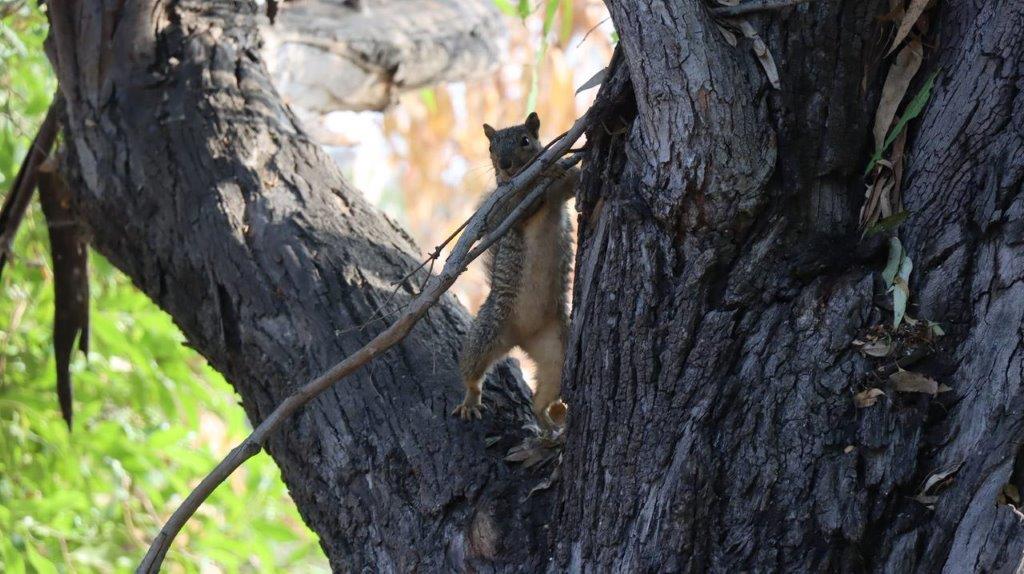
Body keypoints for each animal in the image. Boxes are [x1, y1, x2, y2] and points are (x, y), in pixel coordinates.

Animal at [452, 112, 581, 429]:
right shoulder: (510, 207)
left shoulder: (560, 194)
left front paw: (563, 164)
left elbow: (572, 183)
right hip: (487, 331)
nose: (505, 164)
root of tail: (521, 339)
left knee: (541, 397)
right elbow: (518, 202)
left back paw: (547, 422)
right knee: (472, 370)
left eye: (525, 140)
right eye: (490, 148)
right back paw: (471, 400)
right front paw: (544, 173)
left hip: (556, 350)